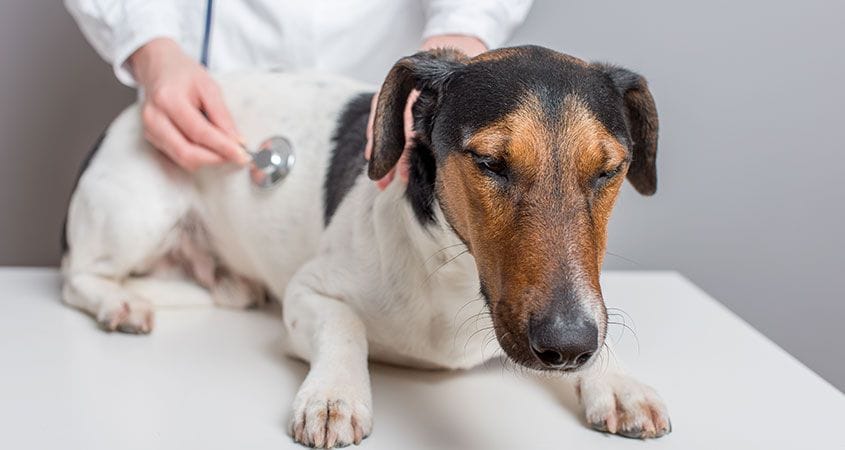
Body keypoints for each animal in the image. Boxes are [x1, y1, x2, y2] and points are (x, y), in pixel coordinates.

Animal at [62, 45, 672, 446]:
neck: (453, 274)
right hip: (136, 215)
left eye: (609, 170)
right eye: (489, 163)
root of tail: (131, 114)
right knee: (76, 276)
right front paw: (334, 394)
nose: (568, 346)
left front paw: (616, 381)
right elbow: (344, 325)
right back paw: (119, 302)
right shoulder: (308, 293)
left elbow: (606, 329)